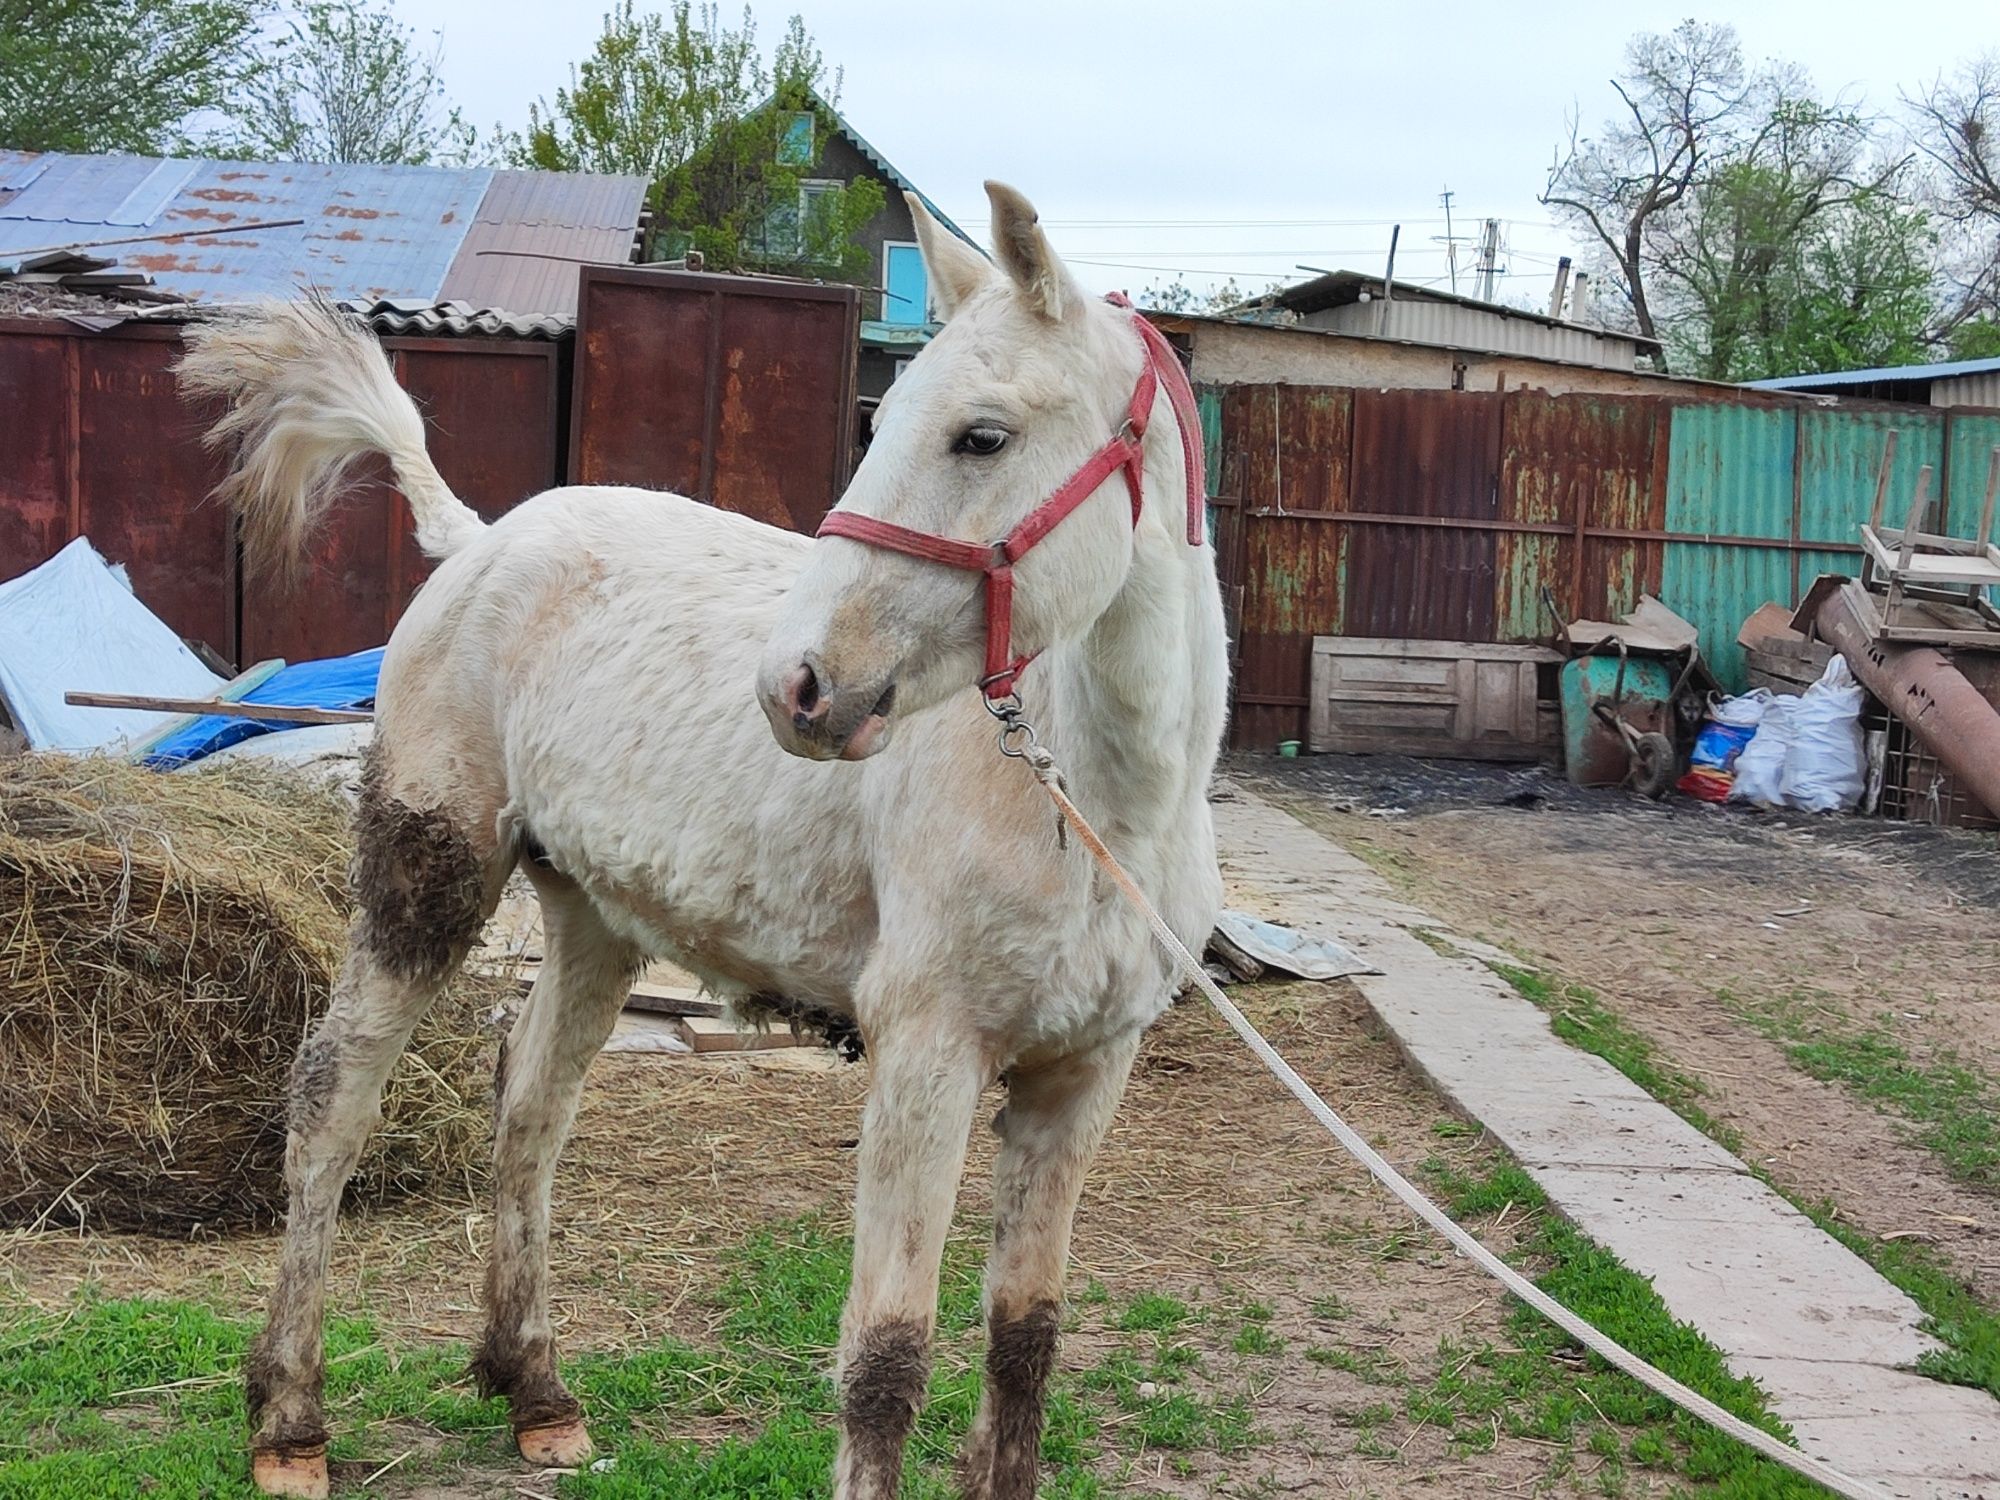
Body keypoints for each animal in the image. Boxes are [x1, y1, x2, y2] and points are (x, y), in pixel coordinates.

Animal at [176, 182, 1232, 1496]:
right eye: (886, 421)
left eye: (981, 437)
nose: (797, 689)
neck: (1092, 810)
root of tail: (473, 540)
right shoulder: (926, 1058)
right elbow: (885, 1361)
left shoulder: (1082, 1077)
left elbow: (1024, 1341)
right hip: (430, 874)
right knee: (332, 1100)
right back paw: (289, 1420)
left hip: (591, 912)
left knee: (530, 1106)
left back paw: (534, 1389)